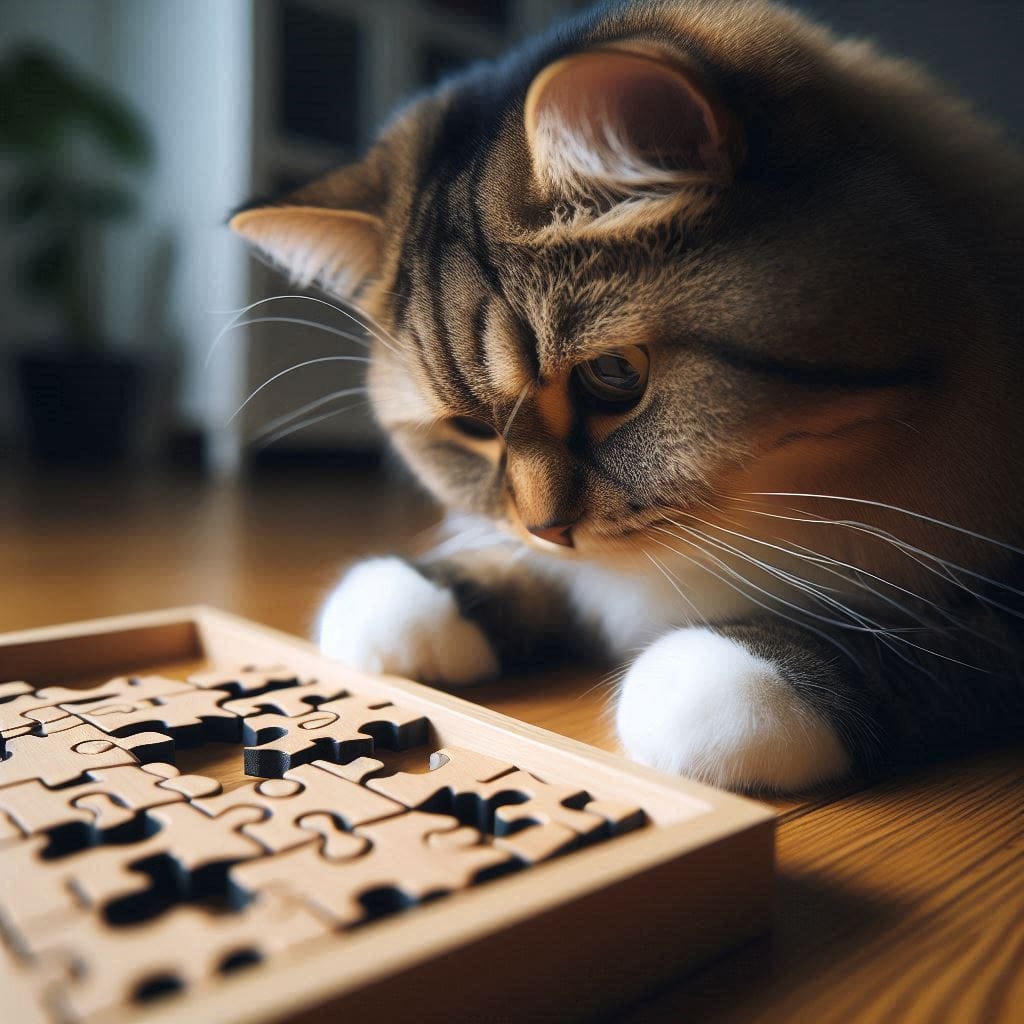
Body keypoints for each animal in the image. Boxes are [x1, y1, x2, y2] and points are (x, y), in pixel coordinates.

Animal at [232, 0, 1024, 790]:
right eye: (473, 430)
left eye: (614, 377)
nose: (548, 529)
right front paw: (420, 597)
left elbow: (912, 640)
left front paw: (725, 678)